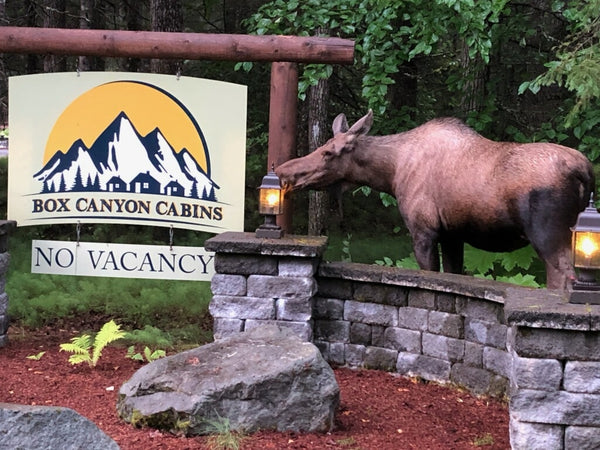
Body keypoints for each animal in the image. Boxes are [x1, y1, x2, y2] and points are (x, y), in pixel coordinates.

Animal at [276, 110, 596, 290]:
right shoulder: (453, 235)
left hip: (549, 235)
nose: (282, 170)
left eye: (328, 152)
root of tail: (586, 171)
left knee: (563, 279)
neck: (391, 174)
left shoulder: (424, 231)